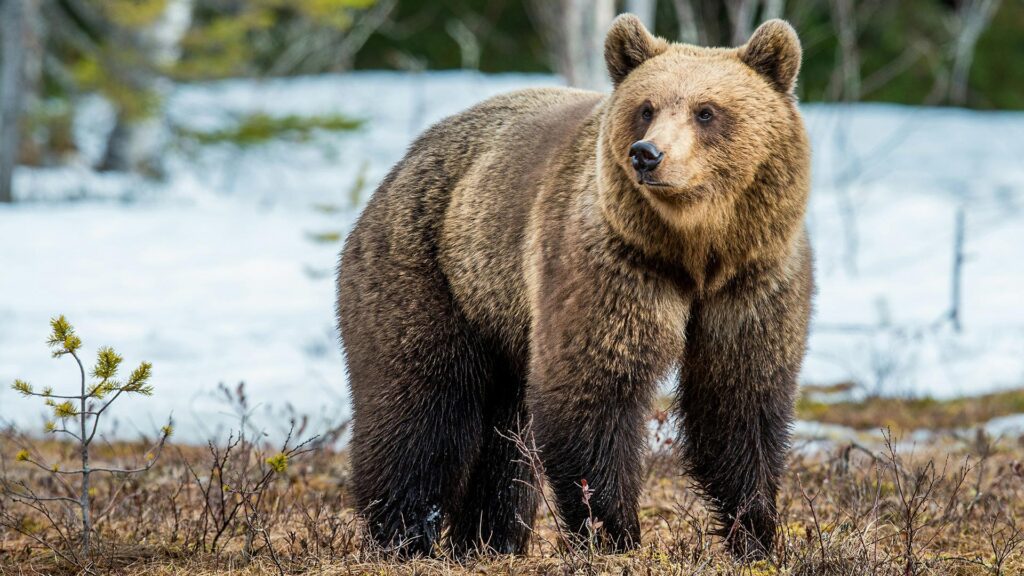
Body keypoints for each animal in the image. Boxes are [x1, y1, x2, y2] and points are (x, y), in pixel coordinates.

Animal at [336, 14, 813, 559]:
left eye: (707, 111)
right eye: (646, 108)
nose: (647, 154)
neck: (694, 252)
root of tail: (405, 161)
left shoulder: (753, 281)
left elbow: (738, 400)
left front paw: (756, 533)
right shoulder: (610, 266)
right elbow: (593, 389)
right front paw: (614, 532)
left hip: (499, 316)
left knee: (504, 439)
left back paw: (487, 538)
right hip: (427, 270)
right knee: (420, 406)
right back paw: (403, 533)